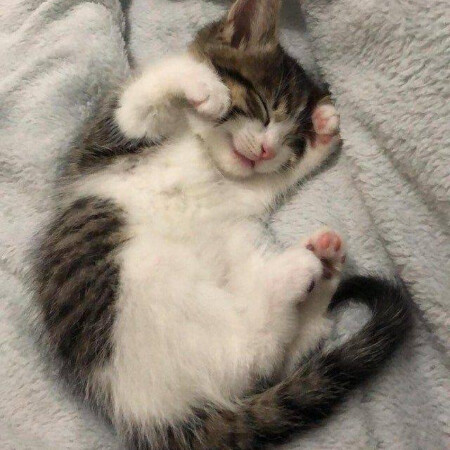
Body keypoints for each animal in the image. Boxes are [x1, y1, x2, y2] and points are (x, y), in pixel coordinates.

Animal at [33, 0, 412, 448]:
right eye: (264, 108)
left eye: (289, 142)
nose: (266, 150)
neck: (200, 147)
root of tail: (155, 416)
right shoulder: (117, 129)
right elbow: (145, 97)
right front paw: (205, 87)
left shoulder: (238, 189)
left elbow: (267, 183)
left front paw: (321, 135)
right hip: (147, 287)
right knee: (257, 354)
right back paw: (309, 268)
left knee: (262, 355)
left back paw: (317, 267)